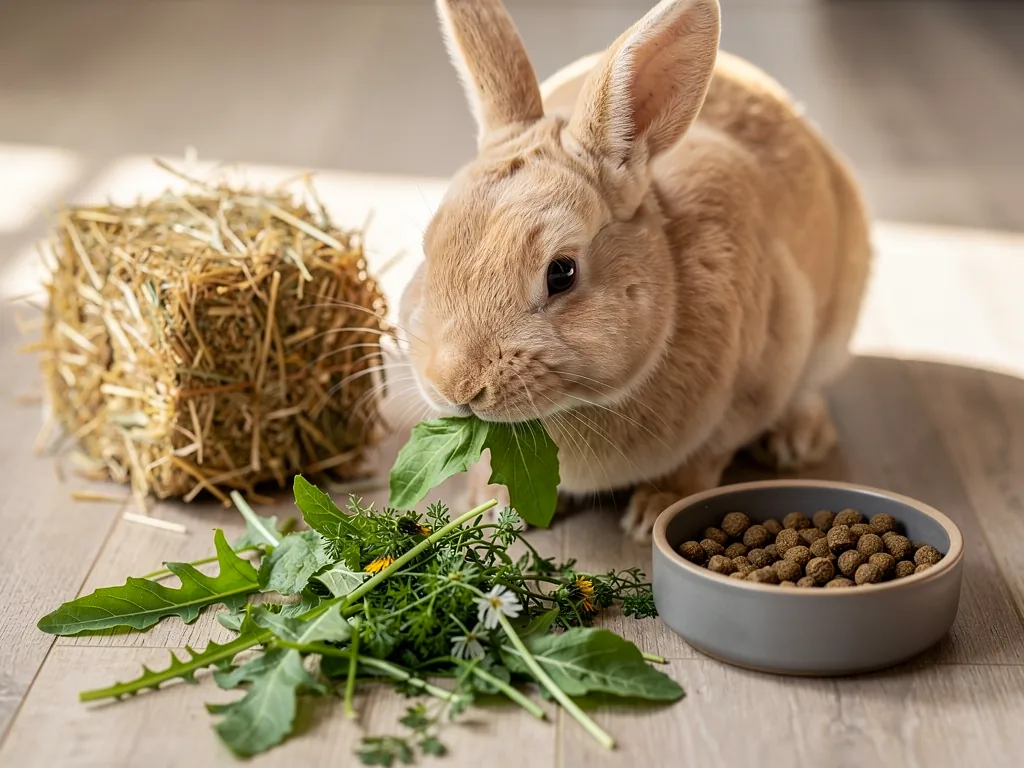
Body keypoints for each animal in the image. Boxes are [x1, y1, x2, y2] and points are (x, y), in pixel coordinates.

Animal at [397, 0, 872, 542]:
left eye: (562, 273)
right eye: (428, 248)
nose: (455, 387)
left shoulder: (755, 382)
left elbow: (706, 457)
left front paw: (655, 511)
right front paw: (495, 504)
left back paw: (797, 440)